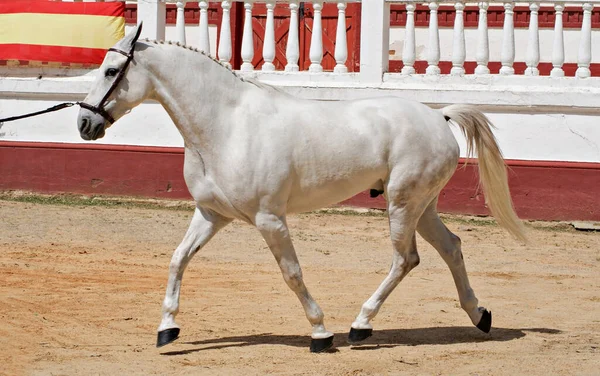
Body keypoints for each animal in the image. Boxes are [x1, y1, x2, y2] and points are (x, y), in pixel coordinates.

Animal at [78, 25, 524, 352]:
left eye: (111, 71)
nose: (85, 124)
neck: (227, 124)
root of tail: (439, 116)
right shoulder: (212, 215)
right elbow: (177, 260)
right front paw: (167, 328)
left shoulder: (269, 219)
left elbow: (292, 273)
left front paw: (321, 333)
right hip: (422, 206)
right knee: (451, 247)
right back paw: (479, 316)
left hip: (402, 205)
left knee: (405, 259)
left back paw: (360, 325)